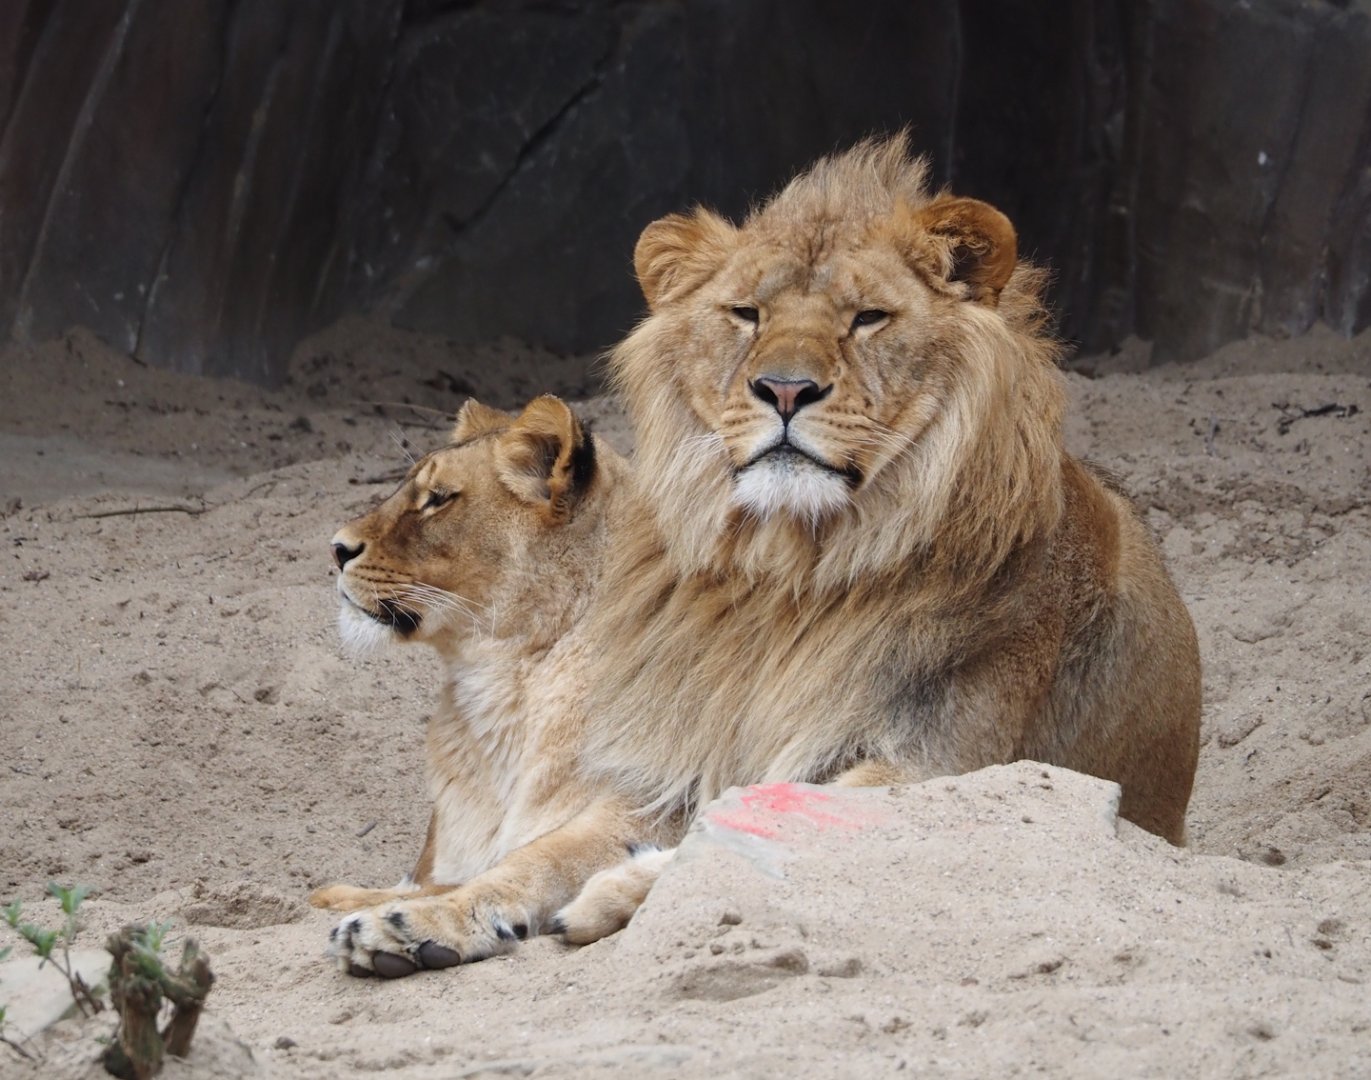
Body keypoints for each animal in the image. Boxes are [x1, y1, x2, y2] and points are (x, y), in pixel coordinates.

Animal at [312, 395, 676, 975]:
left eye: (438, 499)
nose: (336, 549)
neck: (502, 686)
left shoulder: (653, 801)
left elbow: (533, 860)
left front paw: (417, 926)